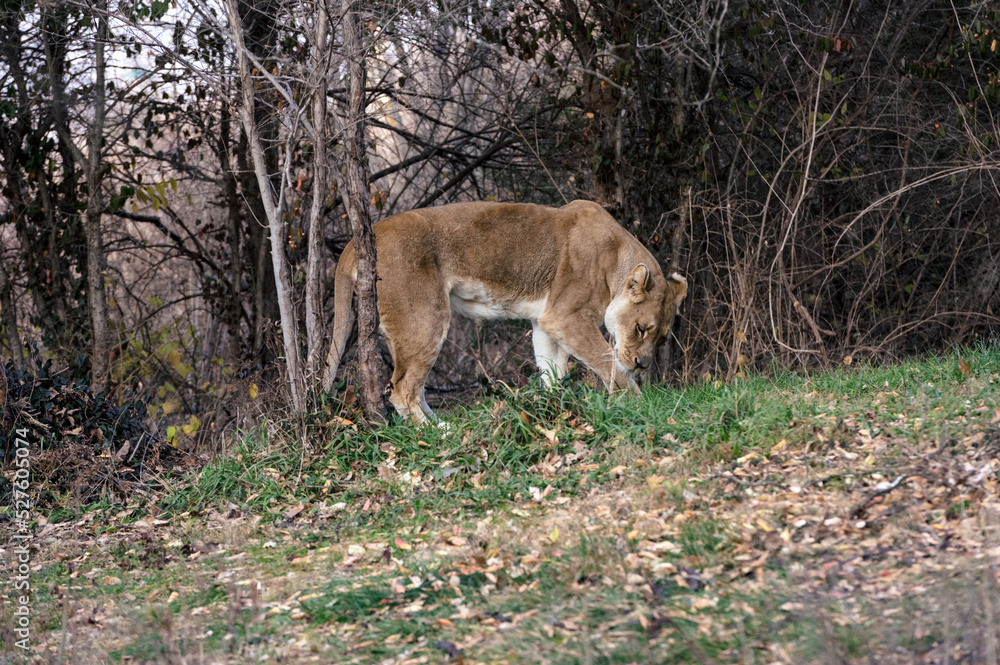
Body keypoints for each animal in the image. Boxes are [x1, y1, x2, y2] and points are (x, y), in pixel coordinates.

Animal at [322, 200, 687, 422]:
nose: (642, 363)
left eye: (662, 338)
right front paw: (640, 405)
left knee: (415, 386)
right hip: (425, 318)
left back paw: (443, 425)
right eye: (641, 329)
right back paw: (441, 434)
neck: (616, 260)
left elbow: (552, 371)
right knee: (401, 389)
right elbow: (610, 365)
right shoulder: (567, 317)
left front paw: (554, 410)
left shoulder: (545, 322)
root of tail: (355, 243)